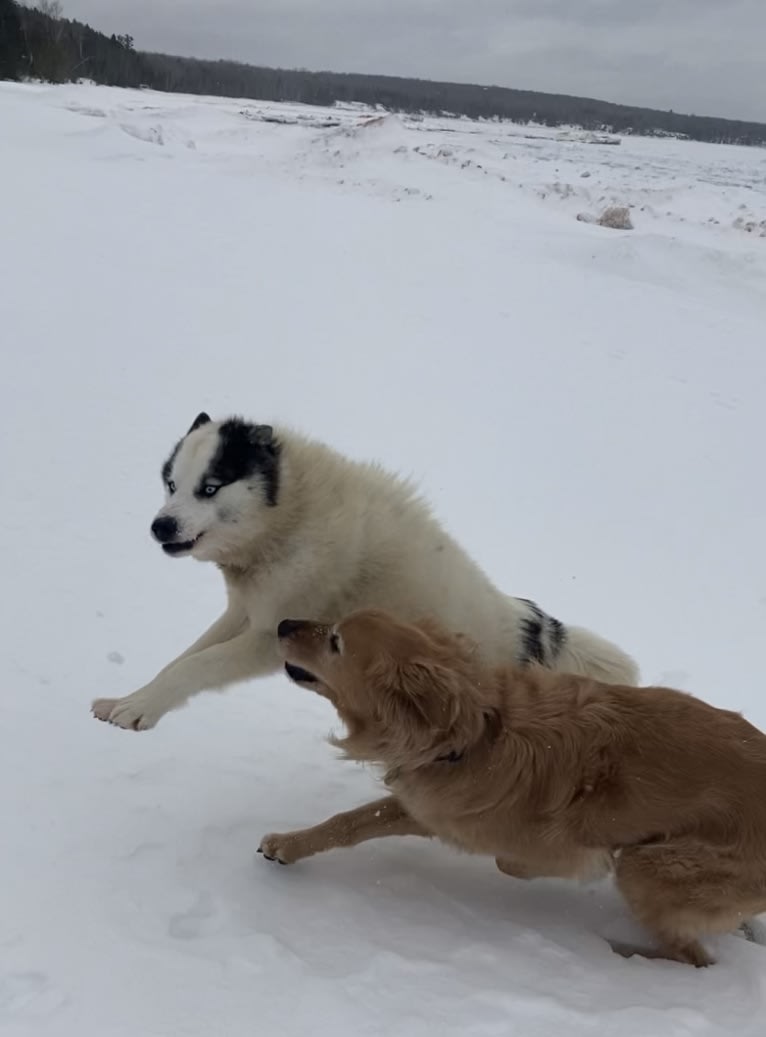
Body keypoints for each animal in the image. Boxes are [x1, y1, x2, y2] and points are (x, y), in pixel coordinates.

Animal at [92, 412, 638, 730]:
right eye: (171, 484)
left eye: (210, 488)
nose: (160, 526)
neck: (291, 515)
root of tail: (529, 631)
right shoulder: (244, 613)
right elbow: (179, 661)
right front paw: (130, 700)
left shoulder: (270, 636)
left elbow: (194, 666)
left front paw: (139, 710)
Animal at [260, 605, 766, 962]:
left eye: (336, 642)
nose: (283, 622)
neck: (473, 732)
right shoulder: (431, 807)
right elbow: (348, 823)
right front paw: (287, 845)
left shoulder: (488, 828)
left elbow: (517, 862)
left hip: (648, 868)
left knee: (696, 958)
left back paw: (625, 954)